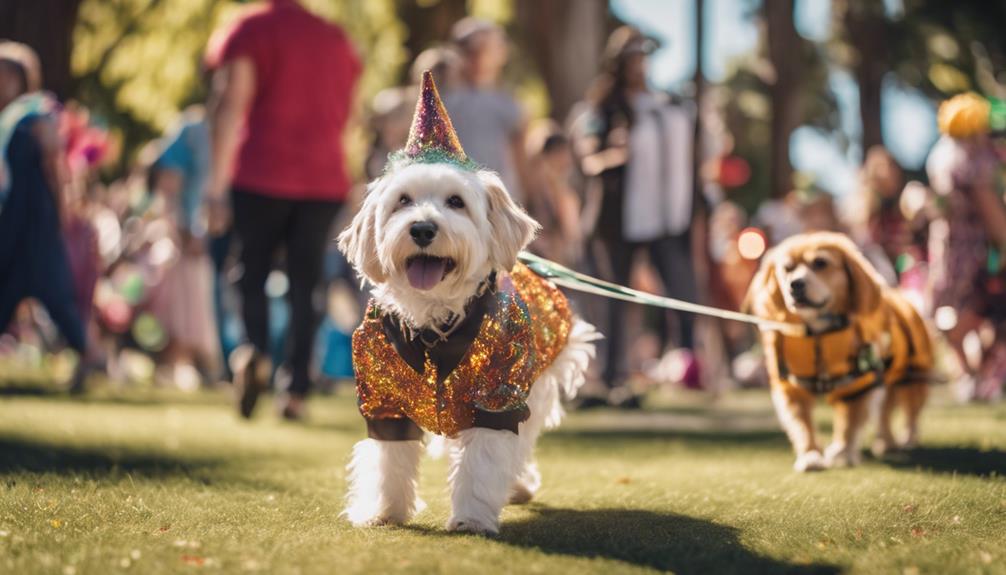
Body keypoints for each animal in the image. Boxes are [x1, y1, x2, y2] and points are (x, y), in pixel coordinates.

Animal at [338, 158, 599, 534]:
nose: (422, 229)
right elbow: (388, 461)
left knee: (520, 444)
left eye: (456, 201)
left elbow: (483, 463)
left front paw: (472, 518)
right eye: (403, 201)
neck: (434, 328)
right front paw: (383, 511)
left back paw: (518, 485)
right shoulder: (383, 400)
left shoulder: (497, 397)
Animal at [744, 232, 929, 472]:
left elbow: (849, 423)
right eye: (787, 268)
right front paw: (810, 455)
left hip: (912, 377)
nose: (795, 285)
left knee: (911, 413)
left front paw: (842, 453)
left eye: (820, 263)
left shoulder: (858, 384)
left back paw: (907, 439)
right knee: (885, 414)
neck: (818, 333)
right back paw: (886, 443)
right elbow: (802, 425)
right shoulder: (792, 388)